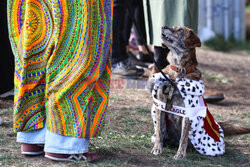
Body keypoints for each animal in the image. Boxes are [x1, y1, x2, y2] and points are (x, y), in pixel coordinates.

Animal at [149, 25, 250, 159]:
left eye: (180, 30)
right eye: (173, 27)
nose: (164, 26)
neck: (178, 71)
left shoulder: (187, 112)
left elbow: (183, 137)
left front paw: (180, 154)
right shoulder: (160, 106)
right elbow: (159, 131)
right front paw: (157, 148)